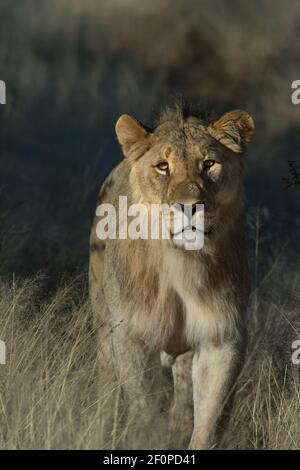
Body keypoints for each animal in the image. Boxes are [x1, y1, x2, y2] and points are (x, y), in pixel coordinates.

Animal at [88, 104, 253, 450]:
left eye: (209, 164)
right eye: (163, 166)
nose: (190, 208)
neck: (183, 263)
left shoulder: (222, 338)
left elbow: (209, 421)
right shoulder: (132, 336)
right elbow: (145, 410)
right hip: (104, 330)